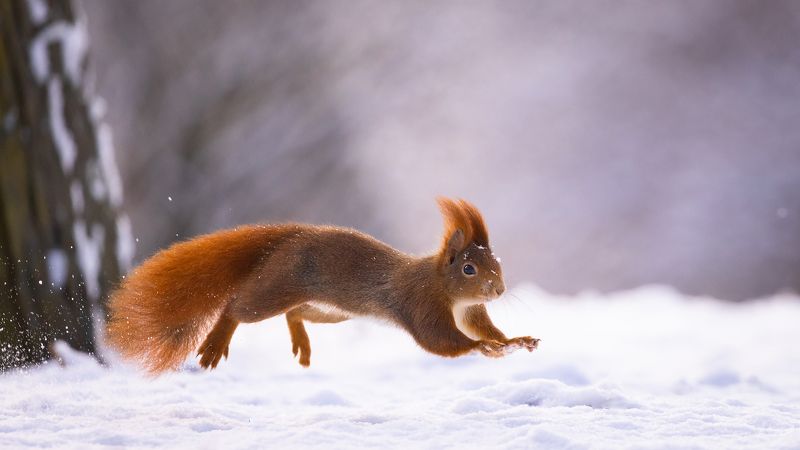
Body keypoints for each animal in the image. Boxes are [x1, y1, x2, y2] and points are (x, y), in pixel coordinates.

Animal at [106, 197, 539, 374]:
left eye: (496, 262)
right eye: (468, 269)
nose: (498, 291)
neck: (442, 285)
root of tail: (293, 237)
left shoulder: (470, 311)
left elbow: (484, 328)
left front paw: (513, 341)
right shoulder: (422, 304)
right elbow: (442, 340)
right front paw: (483, 348)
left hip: (330, 310)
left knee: (296, 313)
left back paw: (301, 341)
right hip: (279, 286)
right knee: (237, 307)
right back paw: (216, 342)